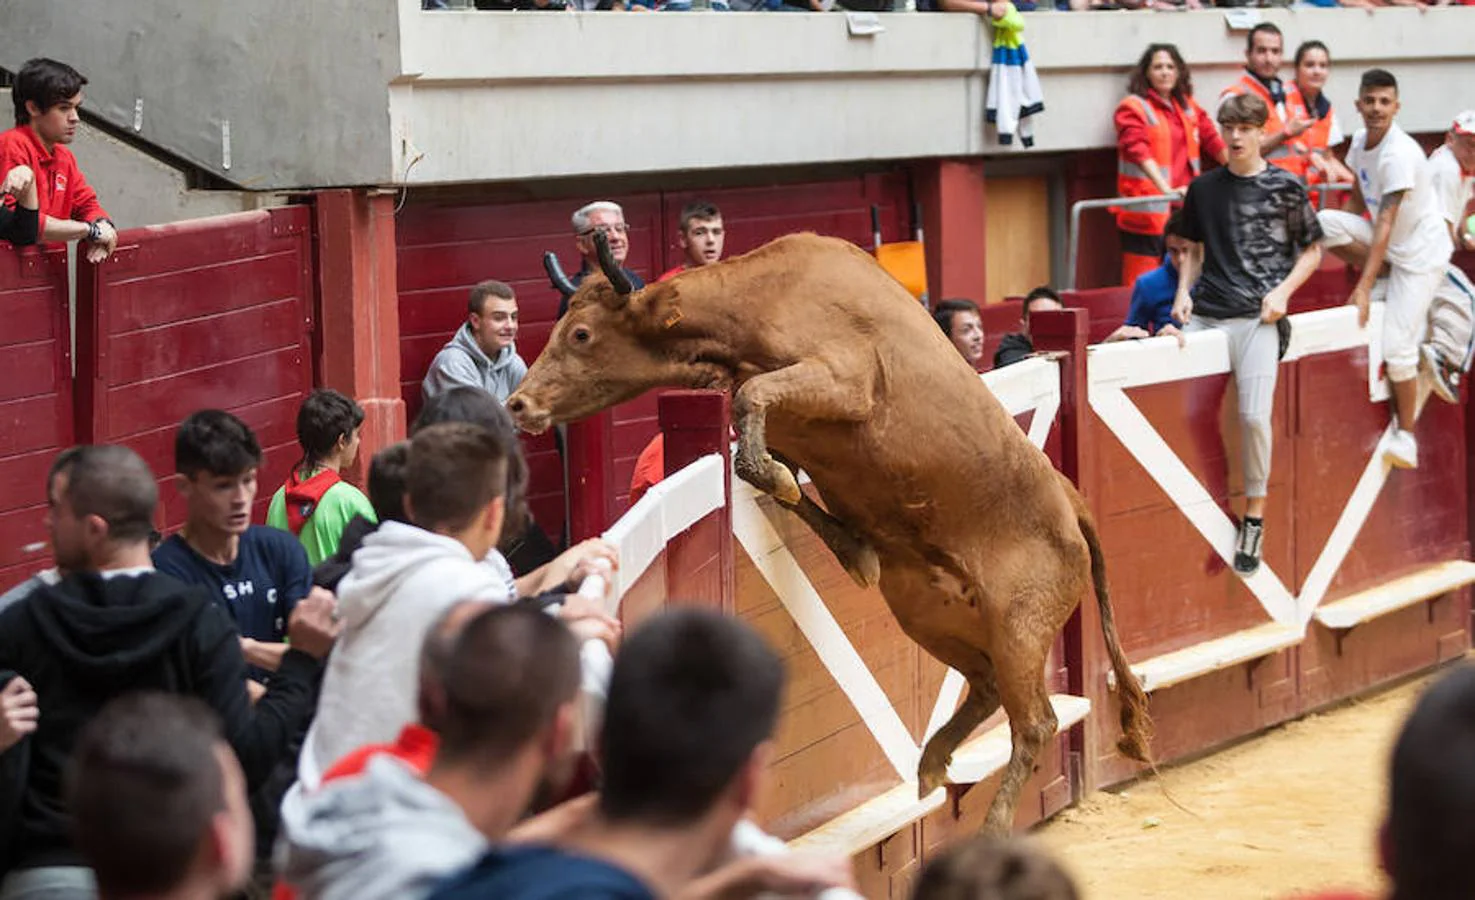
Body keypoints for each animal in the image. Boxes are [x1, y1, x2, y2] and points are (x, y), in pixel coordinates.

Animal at [510, 231, 1150, 832]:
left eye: (581, 334)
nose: (518, 404)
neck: (762, 301)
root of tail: (1071, 499)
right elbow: (757, 463)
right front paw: (850, 546)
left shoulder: (843, 381)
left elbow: (753, 411)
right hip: (927, 614)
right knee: (986, 685)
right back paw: (932, 763)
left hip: (1020, 625)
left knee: (1035, 722)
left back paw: (993, 826)